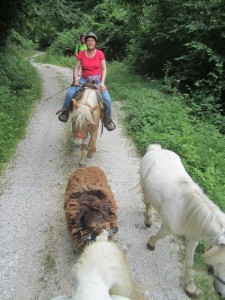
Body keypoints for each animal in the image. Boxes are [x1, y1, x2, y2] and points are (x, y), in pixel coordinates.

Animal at [140, 145, 225, 298]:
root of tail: (157, 149)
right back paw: (148, 219)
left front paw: (189, 286)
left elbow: (189, 262)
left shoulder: (193, 238)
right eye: (222, 261)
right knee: (147, 202)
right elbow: (159, 236)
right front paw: (151, 244)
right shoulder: (168, 227)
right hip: (145, 186)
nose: (221, 293)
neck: (187, 210)